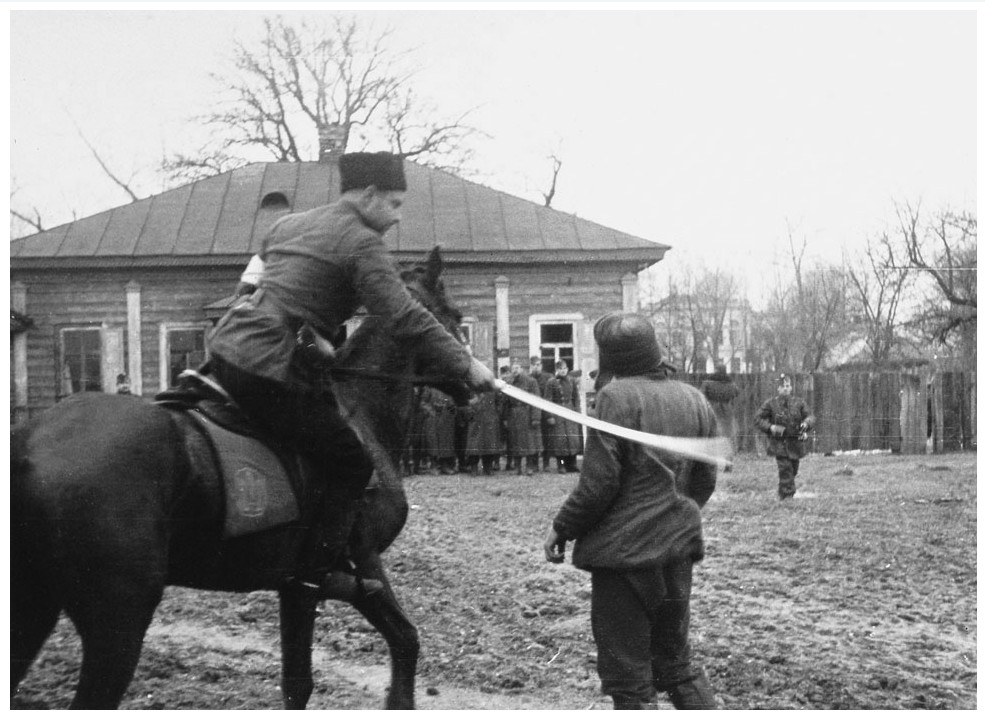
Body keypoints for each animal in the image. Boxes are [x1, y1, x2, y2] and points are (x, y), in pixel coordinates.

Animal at [10, 250, 472, 712]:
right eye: (454, 315)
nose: (474, 384)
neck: (360, 412)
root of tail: (30, 441)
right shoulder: (352, 566)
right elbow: (395, 643)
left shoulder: (297, 588)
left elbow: (315, 676)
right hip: (118, 619)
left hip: (35, 607)